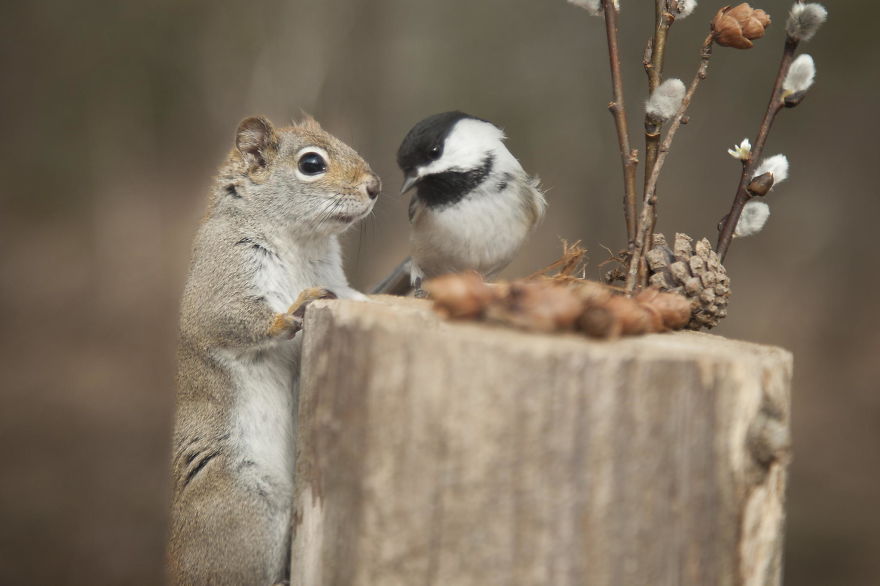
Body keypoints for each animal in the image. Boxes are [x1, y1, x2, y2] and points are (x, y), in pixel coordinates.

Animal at [168, 115, 380, 585]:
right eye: (311, 164)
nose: (374, 186)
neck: (300, 241)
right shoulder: (222, 273)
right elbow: (226, 318)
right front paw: (291, 312)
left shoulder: (338, 284)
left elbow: (357, 296)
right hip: (243, 503)